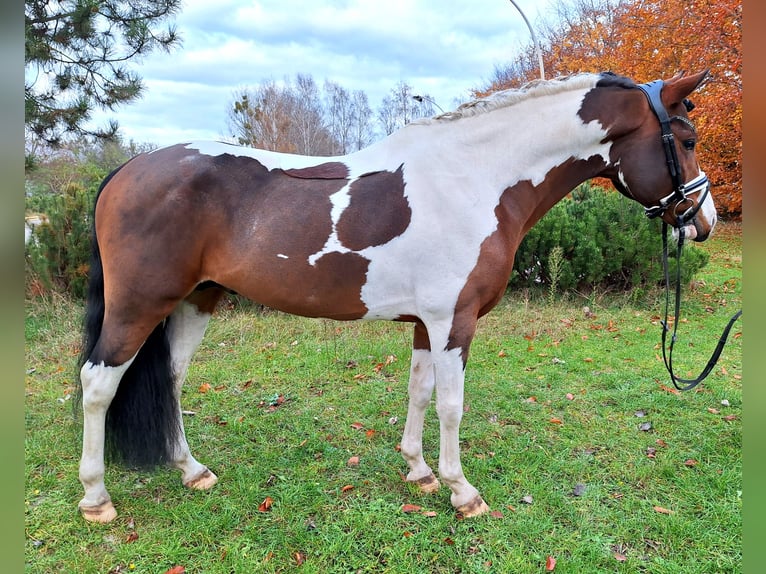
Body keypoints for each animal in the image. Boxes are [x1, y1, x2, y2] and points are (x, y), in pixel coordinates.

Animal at [75, 70, 716, 524]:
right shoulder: (455, 322)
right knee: (98, 383)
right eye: (685, 139)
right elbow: (452, 405)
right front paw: (462, 492)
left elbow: (419, 391)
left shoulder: (426, 322)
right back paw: (96, 499)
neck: (475, 178)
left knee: (170, 381)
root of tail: (128, 170)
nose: (703, 222)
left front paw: (420, 472)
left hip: (195, 301)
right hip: (140, 306)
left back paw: (192, 471)